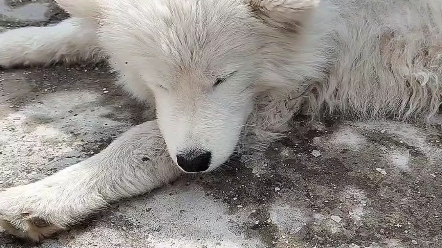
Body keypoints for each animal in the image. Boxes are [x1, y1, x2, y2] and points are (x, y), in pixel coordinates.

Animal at [0, 0, 442, 241]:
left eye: (223, 79)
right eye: (159, 83)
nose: (194, 161)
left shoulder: (271, 106)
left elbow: (140, 142)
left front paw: (44, 197)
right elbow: (73, 31)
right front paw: (14, 44)